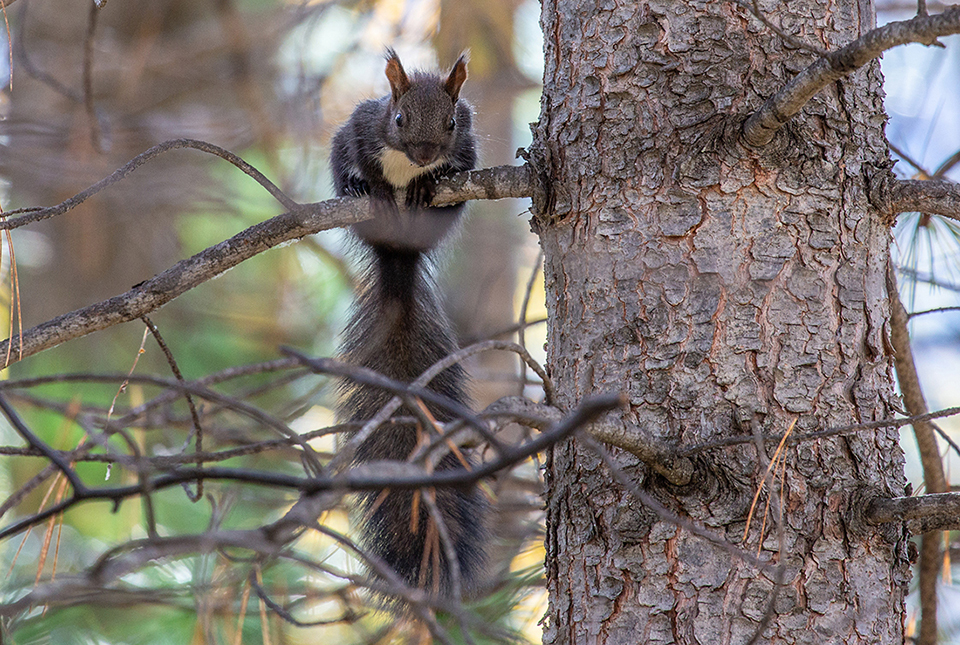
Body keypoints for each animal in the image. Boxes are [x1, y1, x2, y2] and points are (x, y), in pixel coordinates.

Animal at [334, 50, 492, 600]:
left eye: (450, 122)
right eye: (398, 119)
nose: (424, 157)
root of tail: (398, 253)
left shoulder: (466, 146)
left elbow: (464, 165)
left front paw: (425, 184)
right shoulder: (360, 127)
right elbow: (355, 157)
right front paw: (377, 185)